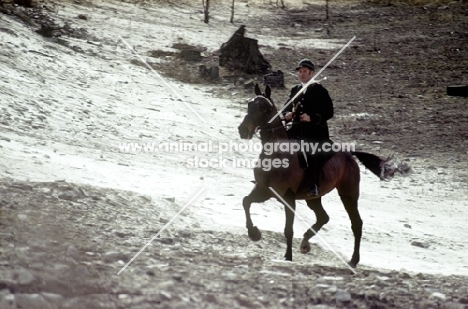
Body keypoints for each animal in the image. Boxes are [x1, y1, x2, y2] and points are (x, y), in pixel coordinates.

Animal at [238, 83, 406, 268]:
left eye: (263, 108)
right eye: (249, 104)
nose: (243, 130)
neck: (276, 155)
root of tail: (349, 154)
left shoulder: (288, 198)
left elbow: (288, 229)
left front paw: (287, 257)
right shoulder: (263, 190)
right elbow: (246, 202)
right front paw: (254, 233)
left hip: (348, 194)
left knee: (356, 224)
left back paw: (353, 260)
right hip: (313, 198)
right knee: (323, 217)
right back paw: (305, 243)